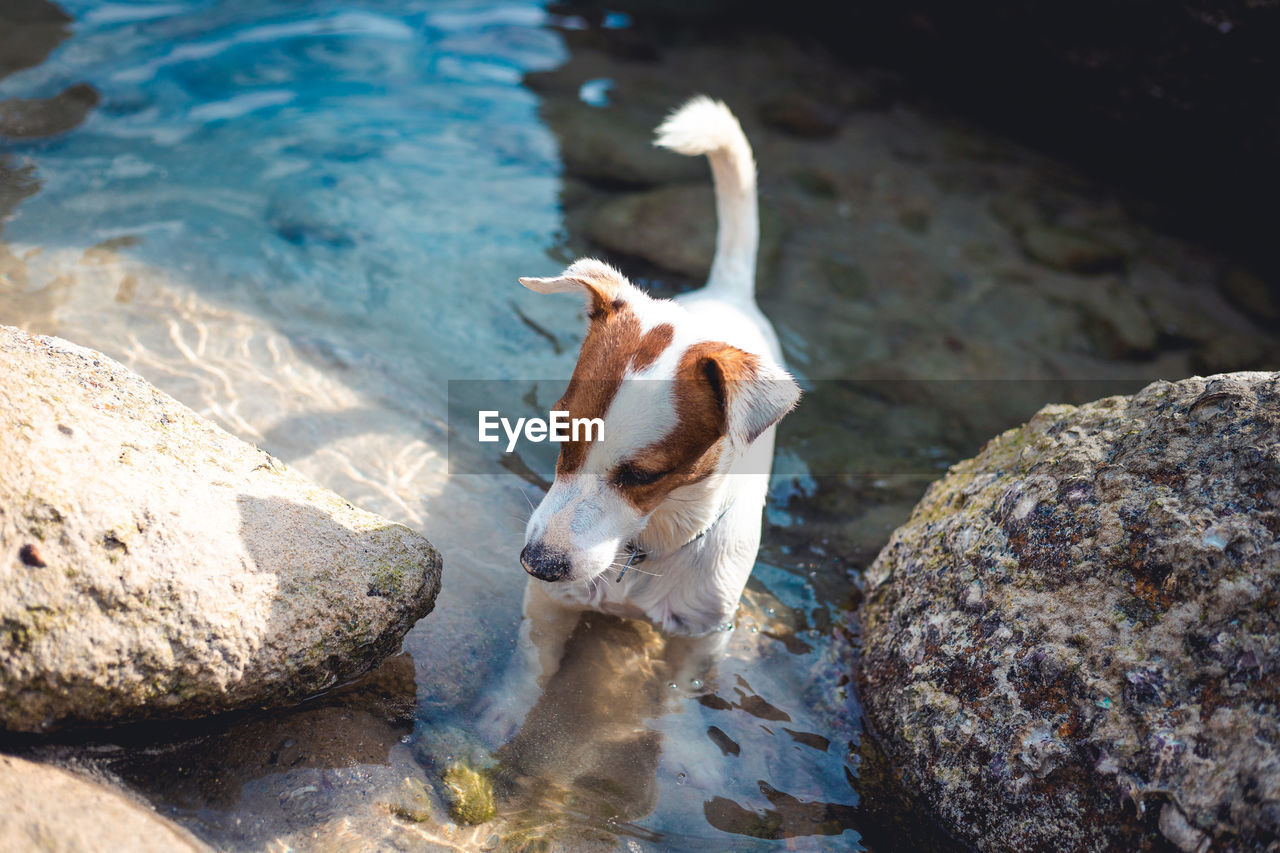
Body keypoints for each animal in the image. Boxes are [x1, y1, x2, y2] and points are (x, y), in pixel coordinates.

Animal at [481, 96, 798, 742]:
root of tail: (727, 293)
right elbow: (529, 666)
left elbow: (673, 707)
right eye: (559, 431)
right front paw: (498, 721)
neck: (646, 547)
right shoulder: (552, 604)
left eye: (645, 476)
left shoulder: (702, 637)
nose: (537, 563)